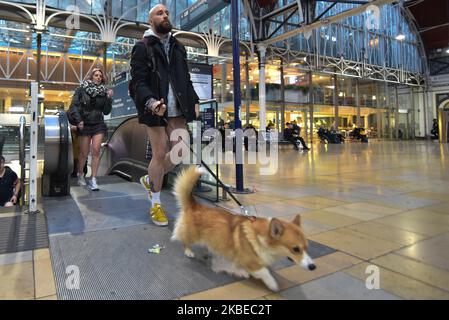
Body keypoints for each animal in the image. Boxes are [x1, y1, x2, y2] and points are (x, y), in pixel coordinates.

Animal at [172, 166, 316, 292]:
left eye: (306, 247)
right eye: (296, 249)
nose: (313, 267)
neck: (261, 238)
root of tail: (194, 205)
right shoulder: (251, 262)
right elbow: (264, 272)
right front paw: (272, 284)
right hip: (192, 235)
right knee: (184, 240)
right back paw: (189, 252)